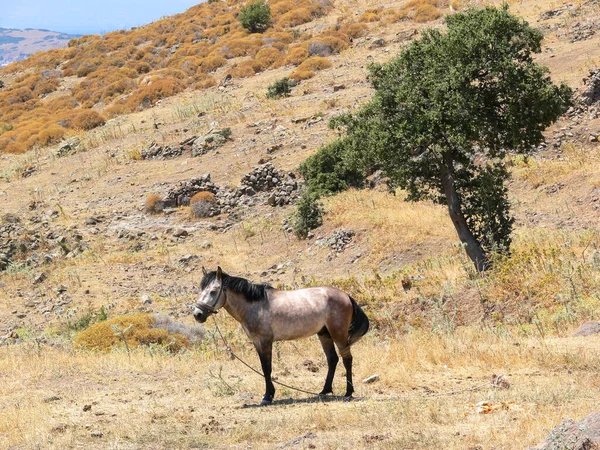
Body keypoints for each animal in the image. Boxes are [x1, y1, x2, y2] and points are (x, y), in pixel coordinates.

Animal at [195, 266, 368, 406]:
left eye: (213, 291)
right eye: (201, 291)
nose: (197, 314)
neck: (255, 306)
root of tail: (346, 296)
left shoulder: (265, 341)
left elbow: (267, 368)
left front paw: (267, 397)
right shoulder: (257, 342)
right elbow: (264, 367)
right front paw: (269, 394)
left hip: (338, 334)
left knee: (347, 359)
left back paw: (348, 393)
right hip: (324, 334)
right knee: (332, 359)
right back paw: (324, 391)